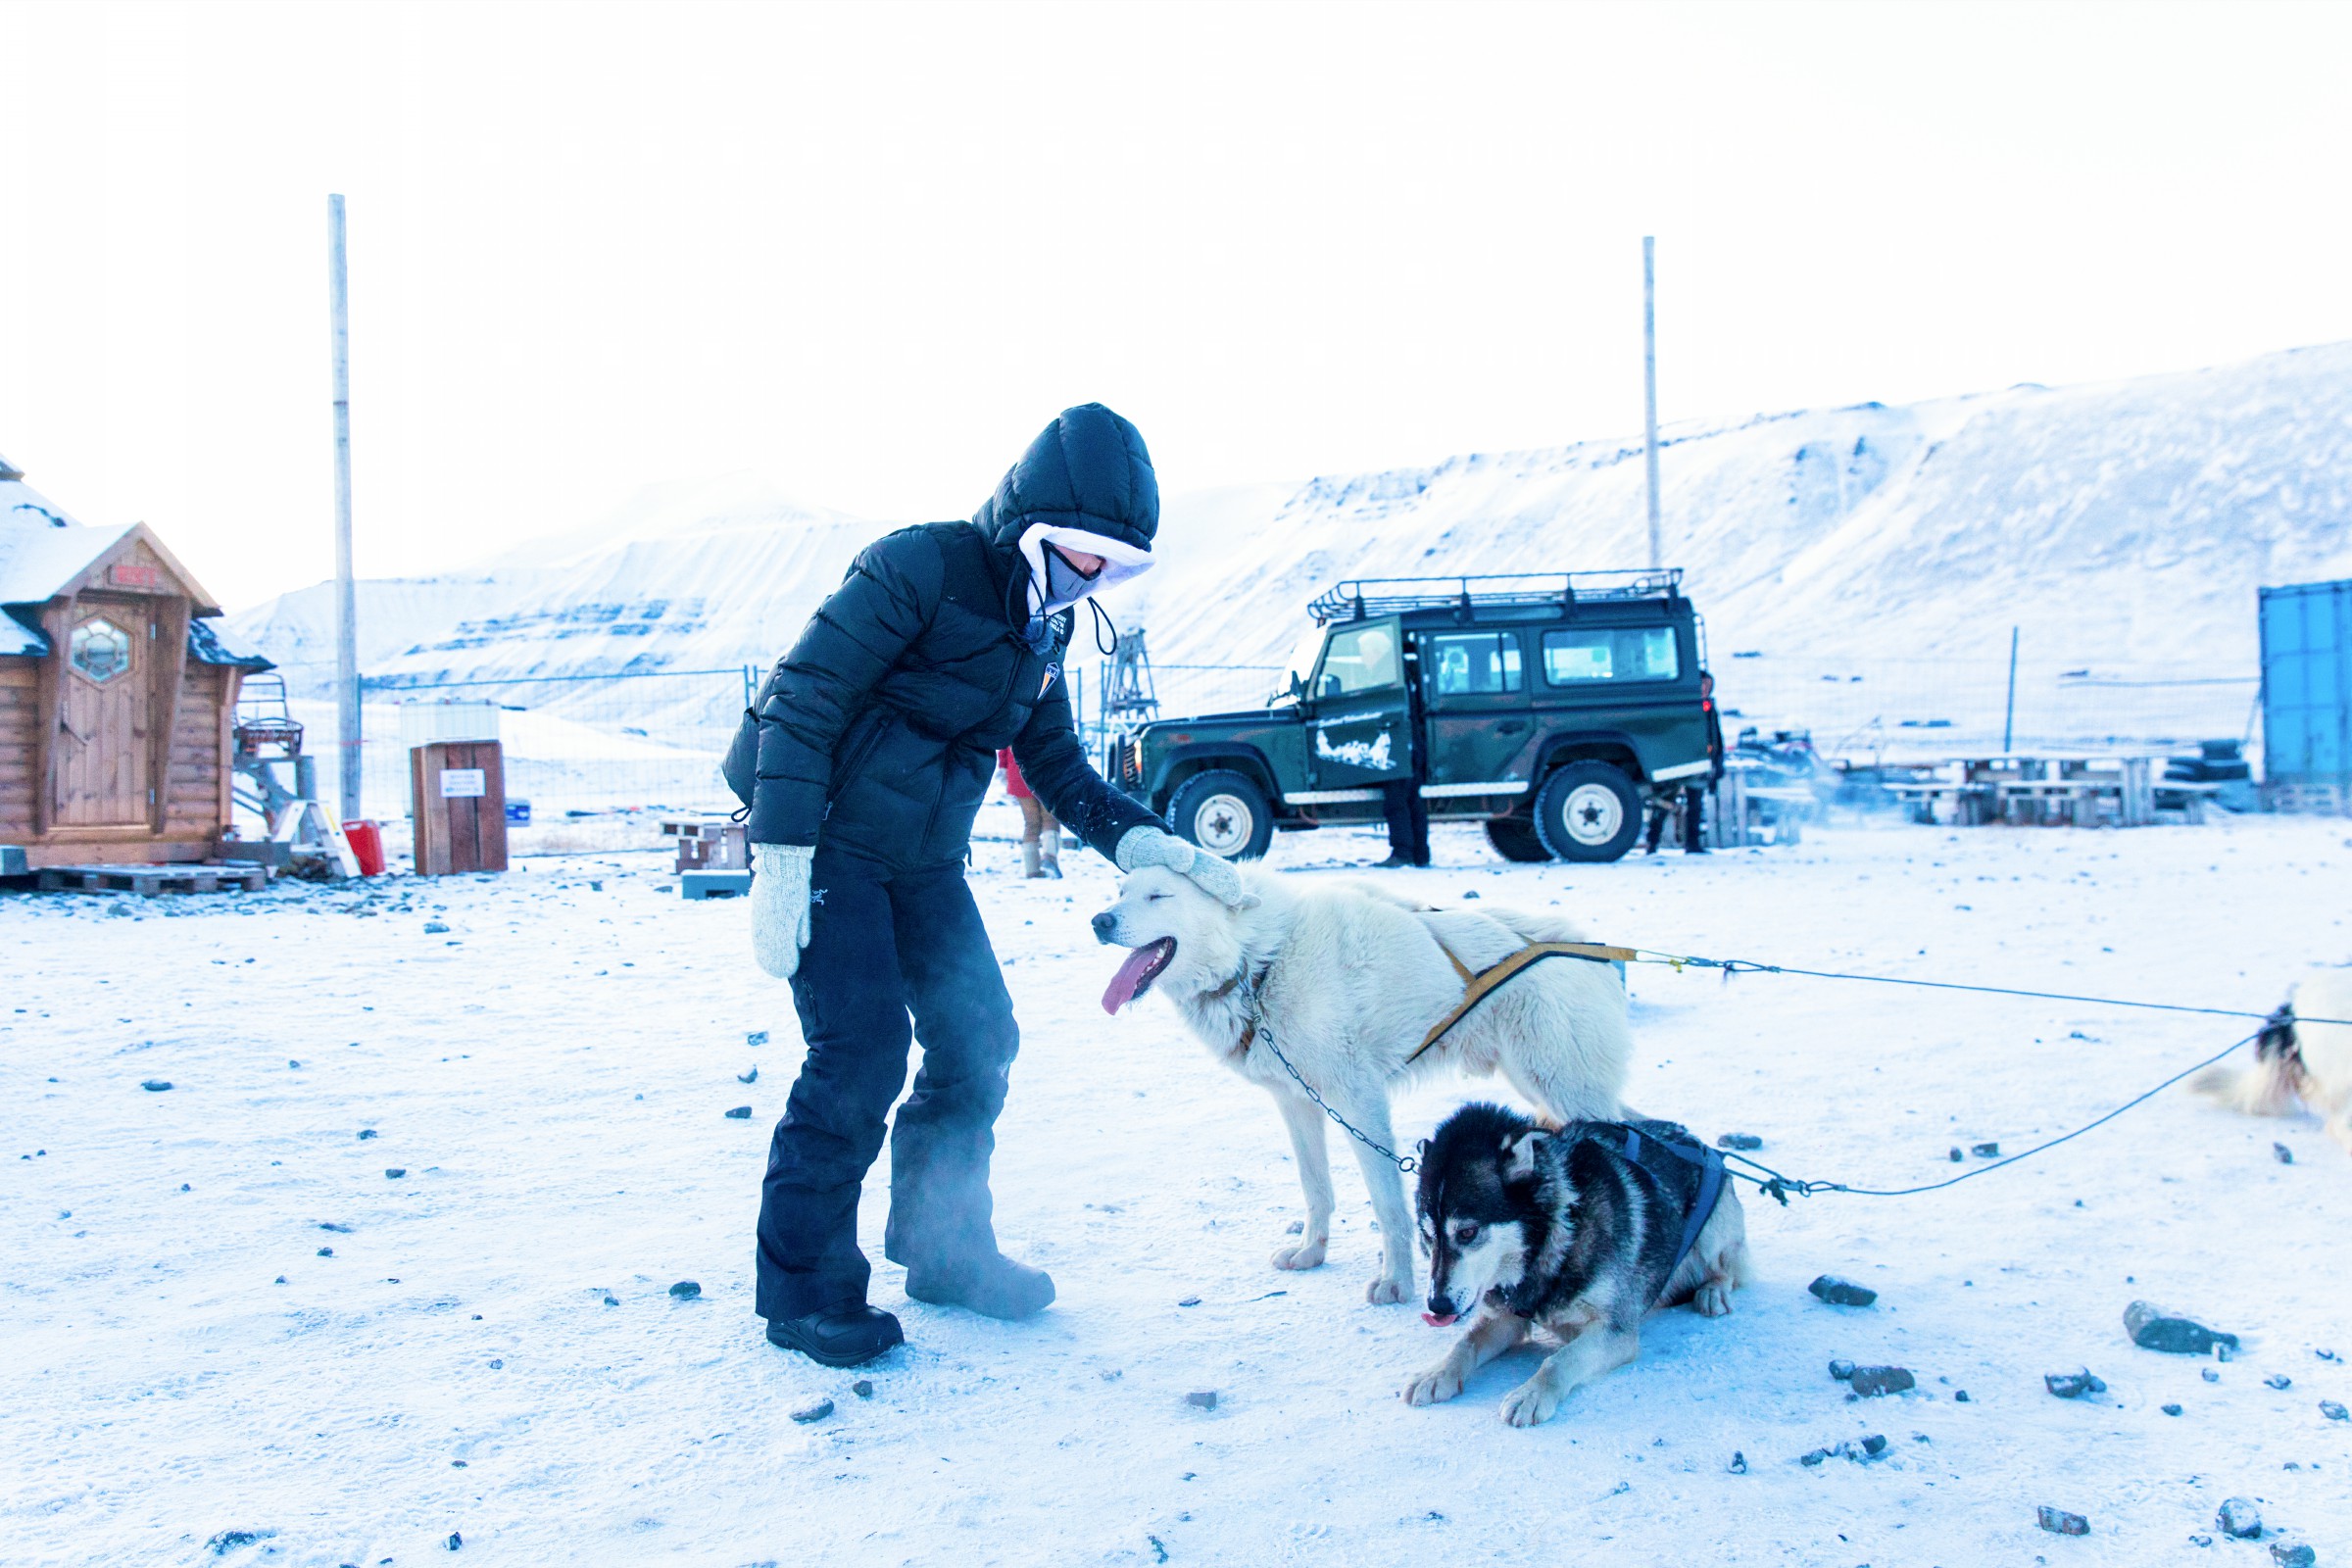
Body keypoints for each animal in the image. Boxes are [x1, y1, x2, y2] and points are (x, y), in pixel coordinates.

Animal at [1086, 864, 1627, 1306]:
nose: (1099, 921)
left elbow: (1388, 1205)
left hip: (1561, 1086)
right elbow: (1315, 1188)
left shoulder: (1358, 1102)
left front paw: (1397, 1283)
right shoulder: (1296, 1102)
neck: (1260, 963)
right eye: (1121, 891)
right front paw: (1311, 1252)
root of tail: (1595, 951)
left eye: (1158, 895)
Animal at [1392, 1104, 1749, 1419]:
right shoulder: (1506, 1317)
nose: (1437, 1305)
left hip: (1714, 1232)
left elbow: (1560, 1359)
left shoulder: (1615, 1331)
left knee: (1727, 1269)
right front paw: (1437, 1373)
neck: (1558, 1240)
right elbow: (1465, 1343)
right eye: (1427, 1235)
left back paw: (1712, 1292)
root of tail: (1693, 1138)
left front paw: (1531, 1394)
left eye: (1467, 1232)